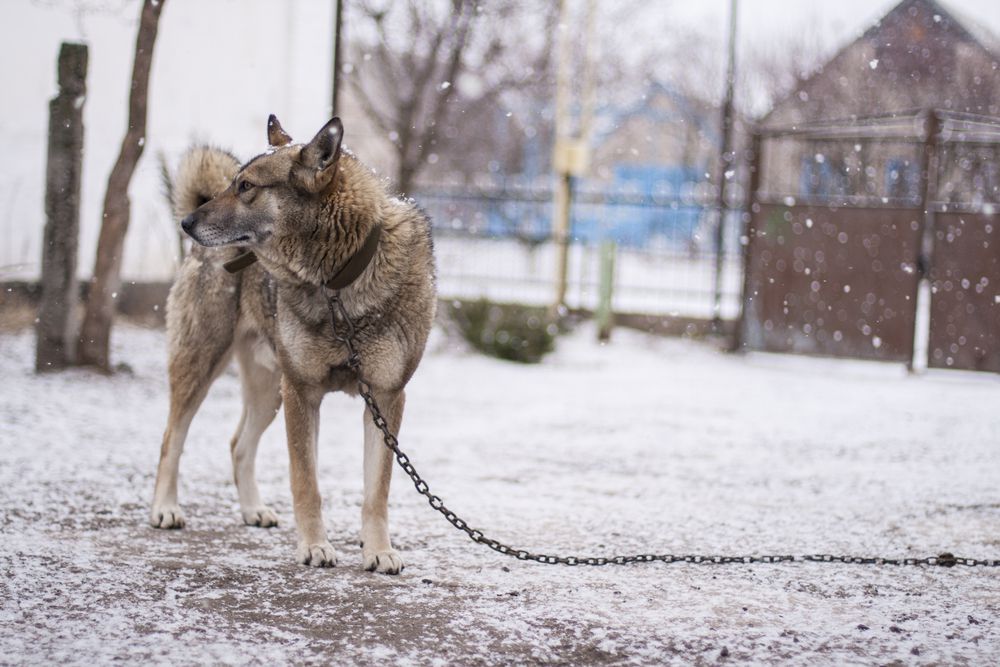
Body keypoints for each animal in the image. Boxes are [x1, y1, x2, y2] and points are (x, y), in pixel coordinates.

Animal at [147, 116, 434, 576]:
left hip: (269, 392)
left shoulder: (386, 398)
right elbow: (306, 482)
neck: (338, 283)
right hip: (203, 366)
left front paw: (378, 551)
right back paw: (165, 509)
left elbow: (377, 491)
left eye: (246, 186)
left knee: (238, 444)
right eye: (234, 183)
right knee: (171, 438)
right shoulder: (303, 393)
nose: (187, 223)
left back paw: (253, 511)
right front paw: (315, 547)